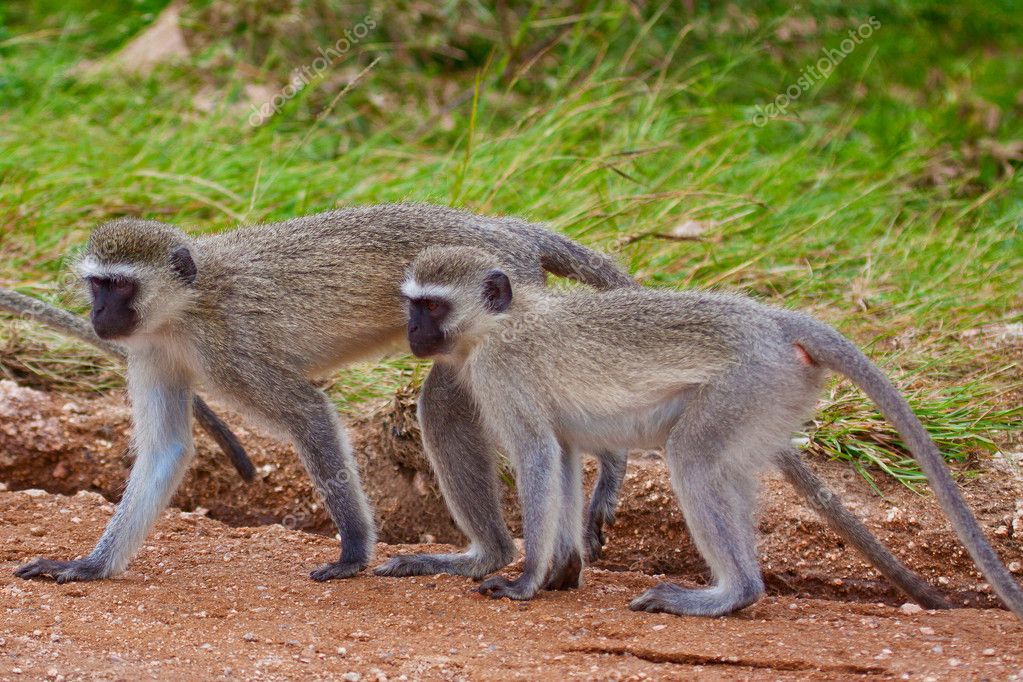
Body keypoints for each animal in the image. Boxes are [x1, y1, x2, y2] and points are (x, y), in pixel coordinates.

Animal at [396, 246, 1023, 617]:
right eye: (413, 305)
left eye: (432, 306)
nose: (411, 333)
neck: (501, 323)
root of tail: (773, 322)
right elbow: (565, 453)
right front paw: (562, 571)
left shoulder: (499, 374)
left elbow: (537, 455)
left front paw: (526, 580)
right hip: (769, 400)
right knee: (726, 469)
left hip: (747, 384)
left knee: (693, 458)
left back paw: (730, 595)